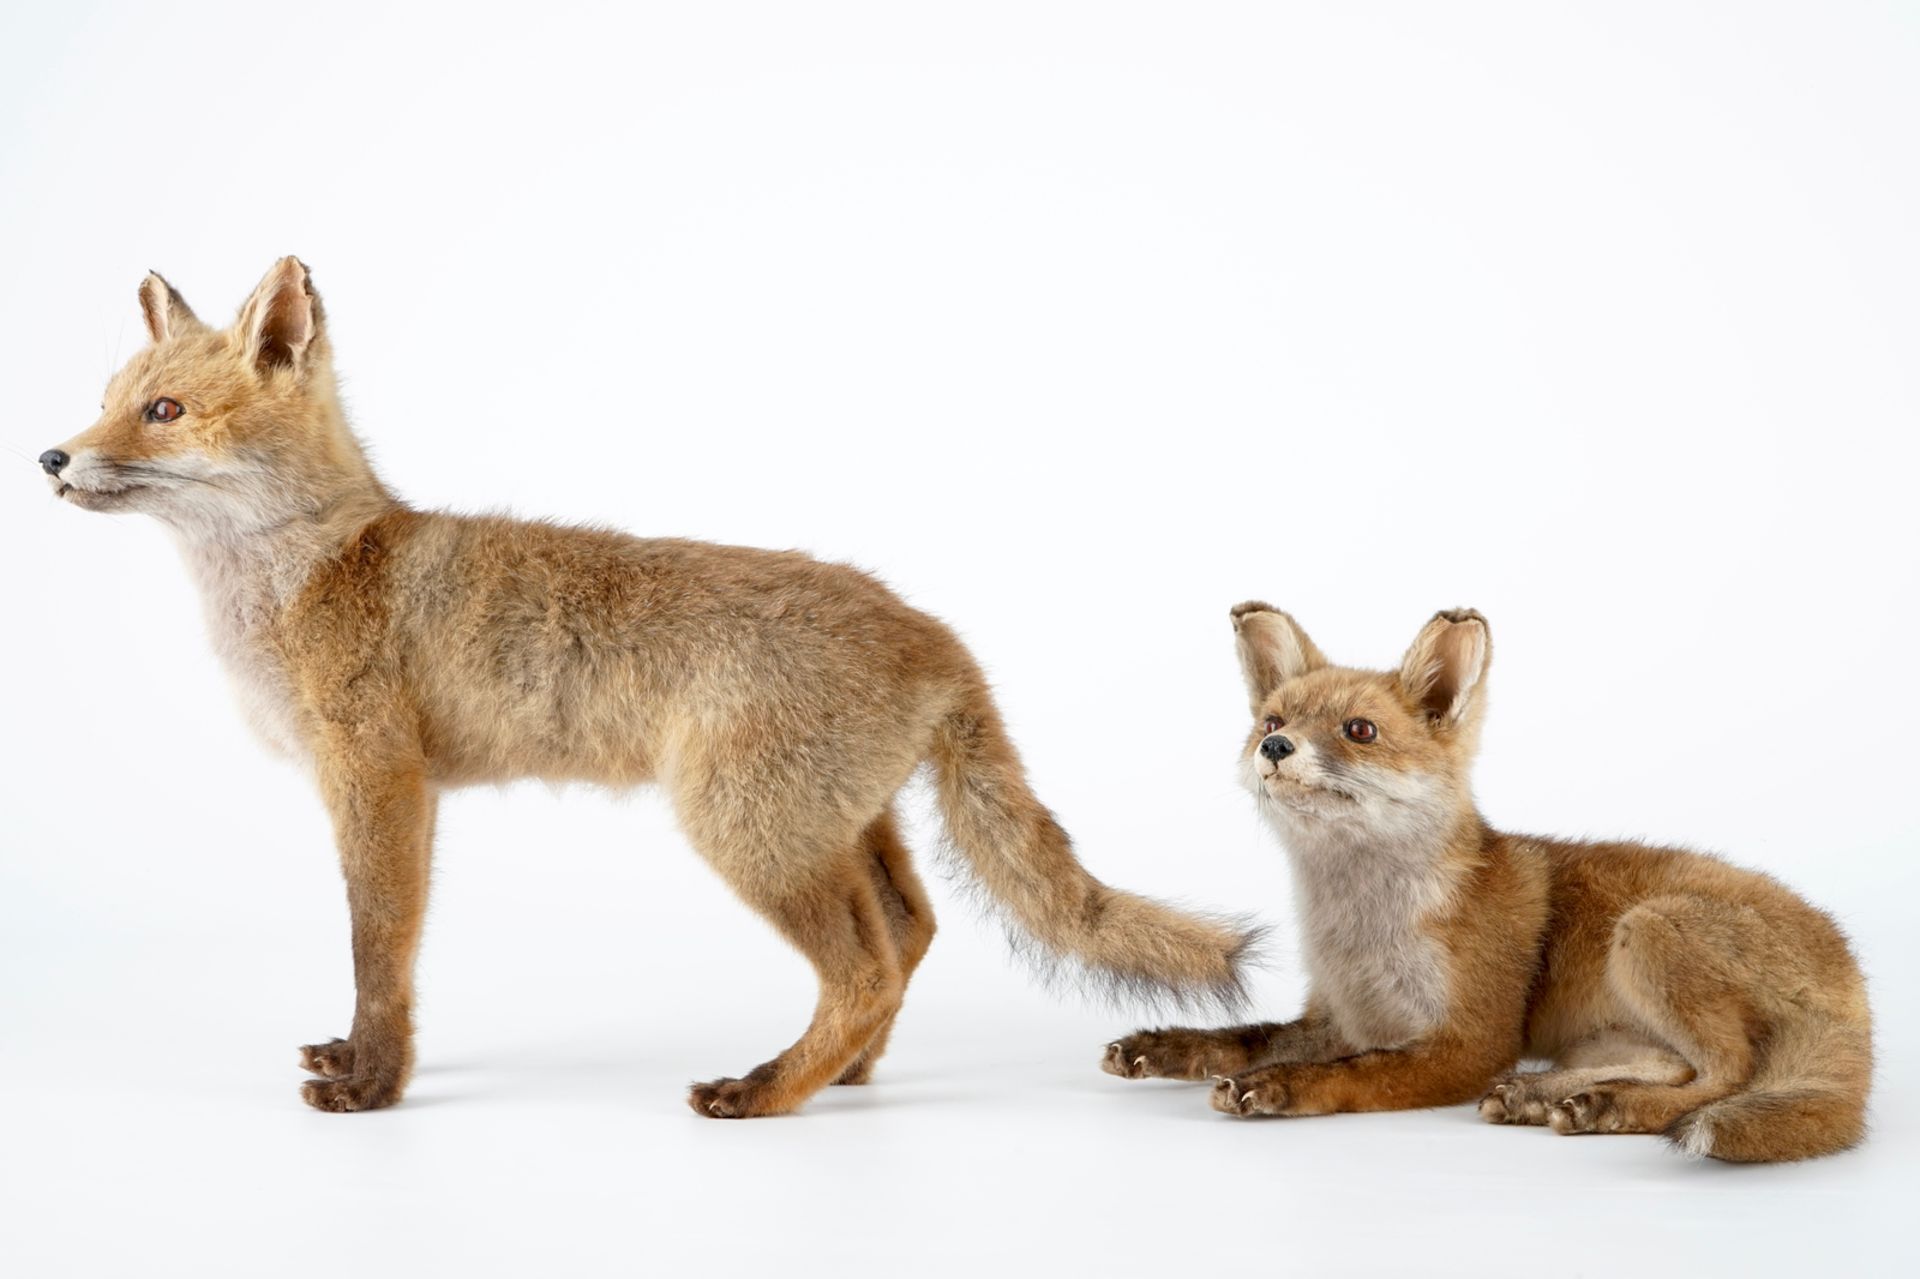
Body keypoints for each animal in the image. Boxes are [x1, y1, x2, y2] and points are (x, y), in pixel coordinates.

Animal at [41, 259, 1259, 1113]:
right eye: (107, 399)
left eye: (163, 413)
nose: (50, 458)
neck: (309, 574)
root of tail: (935, 632)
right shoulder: (407, 791)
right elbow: (387, 957)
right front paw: (359, 1057)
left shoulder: (376, 781)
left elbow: (378, 951)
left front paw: (373, 1085)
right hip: (835, 825)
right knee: (910, 935)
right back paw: (843, 1074)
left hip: (746, 829)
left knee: (868, 965)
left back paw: (768, 1093)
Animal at [1105, 603, 1866, 1159]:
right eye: (1273, 719)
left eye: (1359, 730)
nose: (1274, 747)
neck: (1364, 932)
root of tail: (1848, 962)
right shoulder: (1340, 1016)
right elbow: (1247, 1035)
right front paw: (1166, 1047)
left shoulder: (1468, 1042)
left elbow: (1353, 1074)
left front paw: (1279, 1088)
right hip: (1603, 1030)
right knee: (1677, 1068)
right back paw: (1546, 1095)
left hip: (1644, 930)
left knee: (1725, 1075)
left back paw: (1608, 1107)